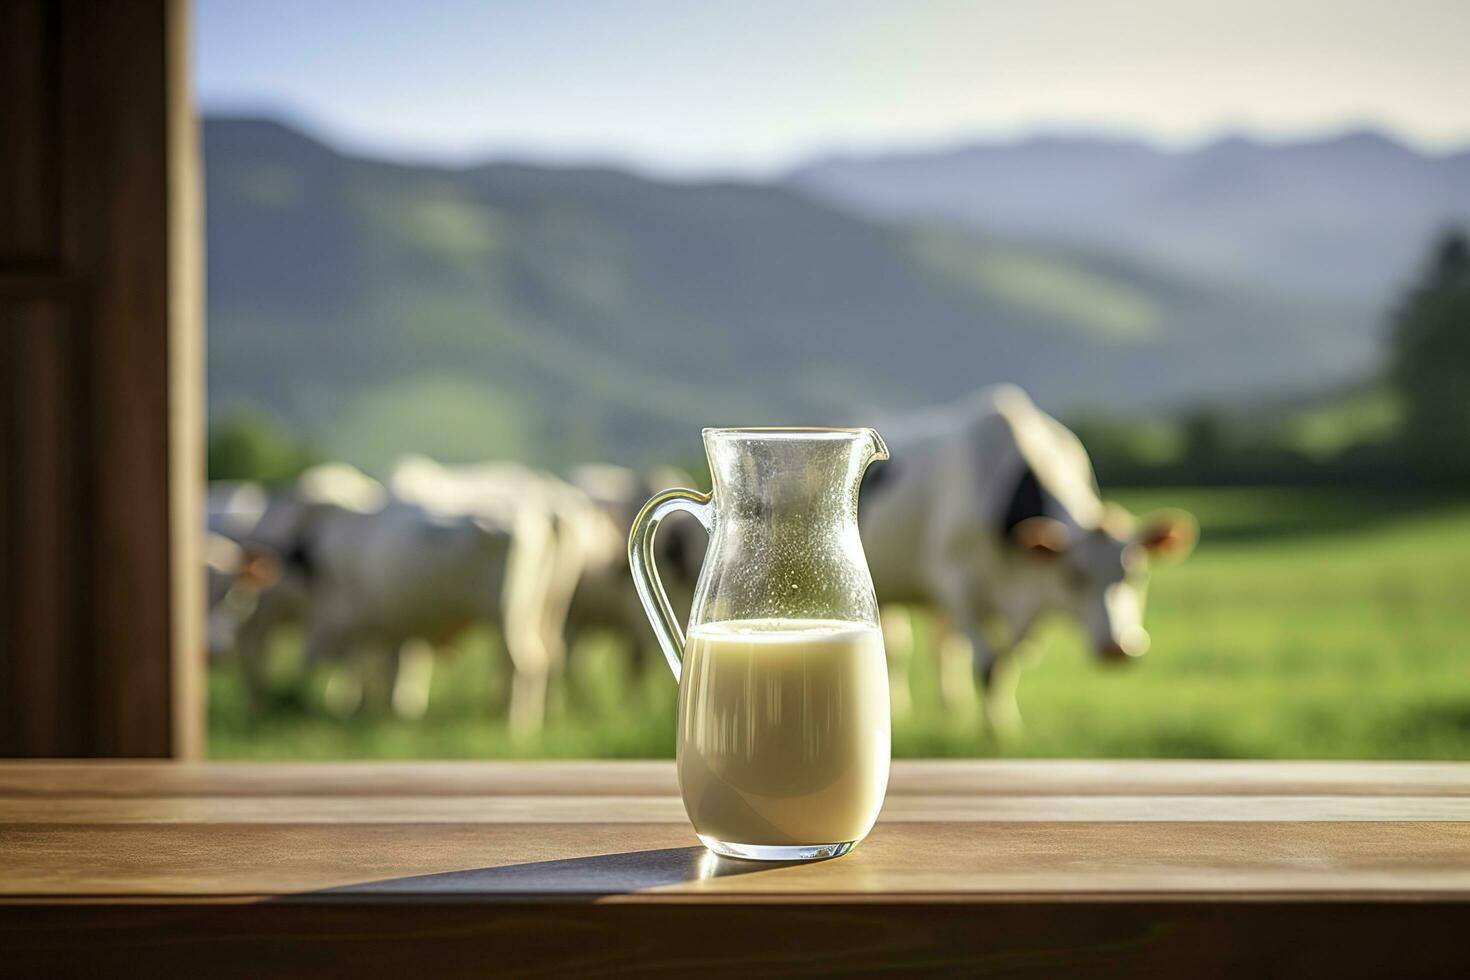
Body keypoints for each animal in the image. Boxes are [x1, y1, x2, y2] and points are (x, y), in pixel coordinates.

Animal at [858, 387, 1193, 740]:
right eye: (1074, 576)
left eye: (1135, 574)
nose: (1117, 649)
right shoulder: (959, 586)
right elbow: (987, 666)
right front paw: (994, 732)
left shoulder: (1026, 601)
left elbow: (1007, 664)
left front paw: (1006, 724)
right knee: (897, 649)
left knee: (941, 646)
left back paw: (951, 707)